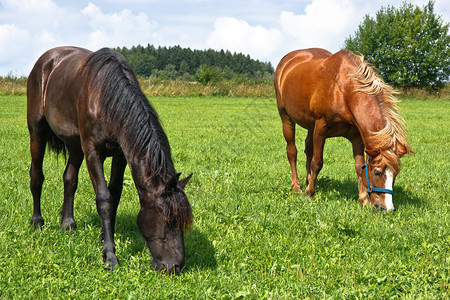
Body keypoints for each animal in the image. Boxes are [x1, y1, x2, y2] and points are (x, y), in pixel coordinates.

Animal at [26, 45, 192, 274]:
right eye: (167, 220)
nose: (175, 266)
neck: (106, 98)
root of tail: (45, 60)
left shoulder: (121, 154)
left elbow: (115, 194)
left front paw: (103, 238)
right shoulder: (92, 152)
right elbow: (104, 198)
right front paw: (110, 257)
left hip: (75, 145)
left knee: (69, 179)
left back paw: (68, 224)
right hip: (37, 131)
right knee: (37, 176)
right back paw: (37, 222)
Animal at [272, 48, 414, 211]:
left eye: (395, 174)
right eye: (377, 172)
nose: (386, 208)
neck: (343, 90)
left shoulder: (356, 136)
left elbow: (359, 166)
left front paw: (363, 199)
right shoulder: (321, 127)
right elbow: (317, 162)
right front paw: (309, 193)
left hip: (310, 125)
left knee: (308, 149)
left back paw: (308, 180)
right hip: (285, 117)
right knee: (292, 151)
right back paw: (297, 186)